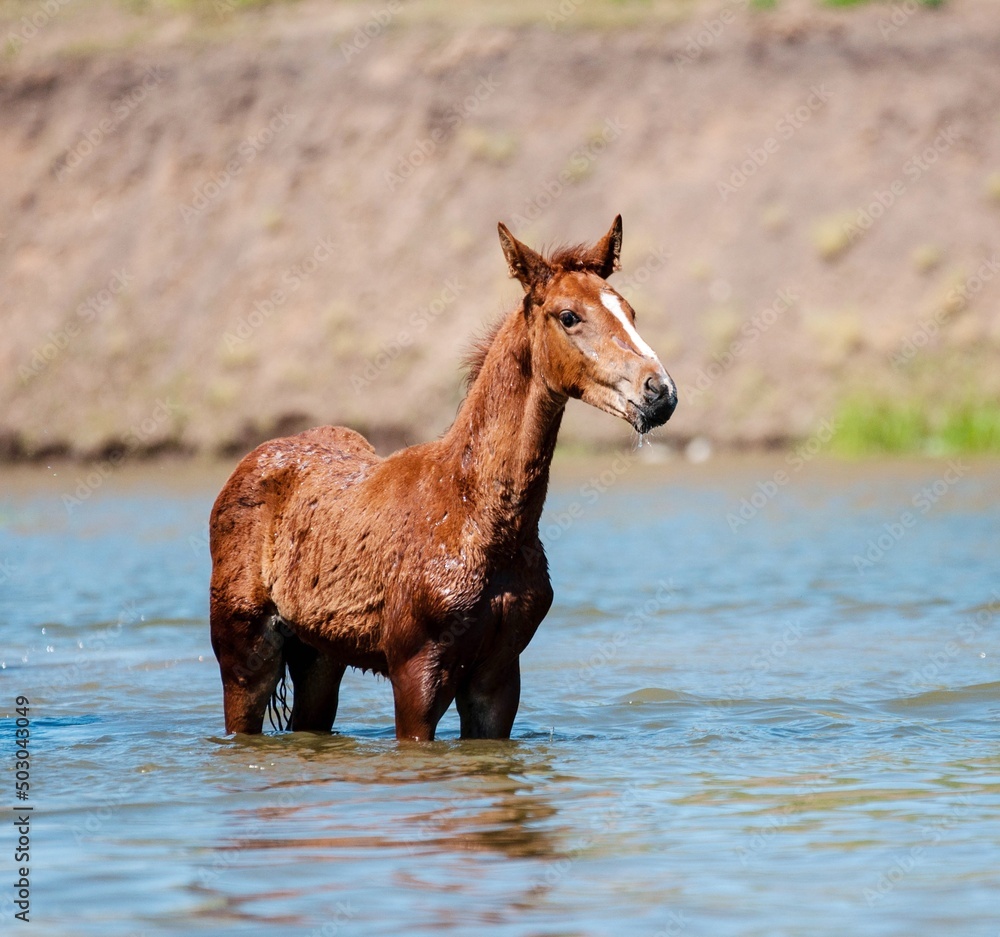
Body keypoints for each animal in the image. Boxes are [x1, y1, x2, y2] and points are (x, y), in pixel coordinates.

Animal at [209, 215, 677, 741]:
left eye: (629, 311)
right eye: (568, 316)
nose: (660, 392)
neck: (481, 519)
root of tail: (251, 461)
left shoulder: (498, 676)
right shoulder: (415, 671)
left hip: (319, 657)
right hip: (244, 656)